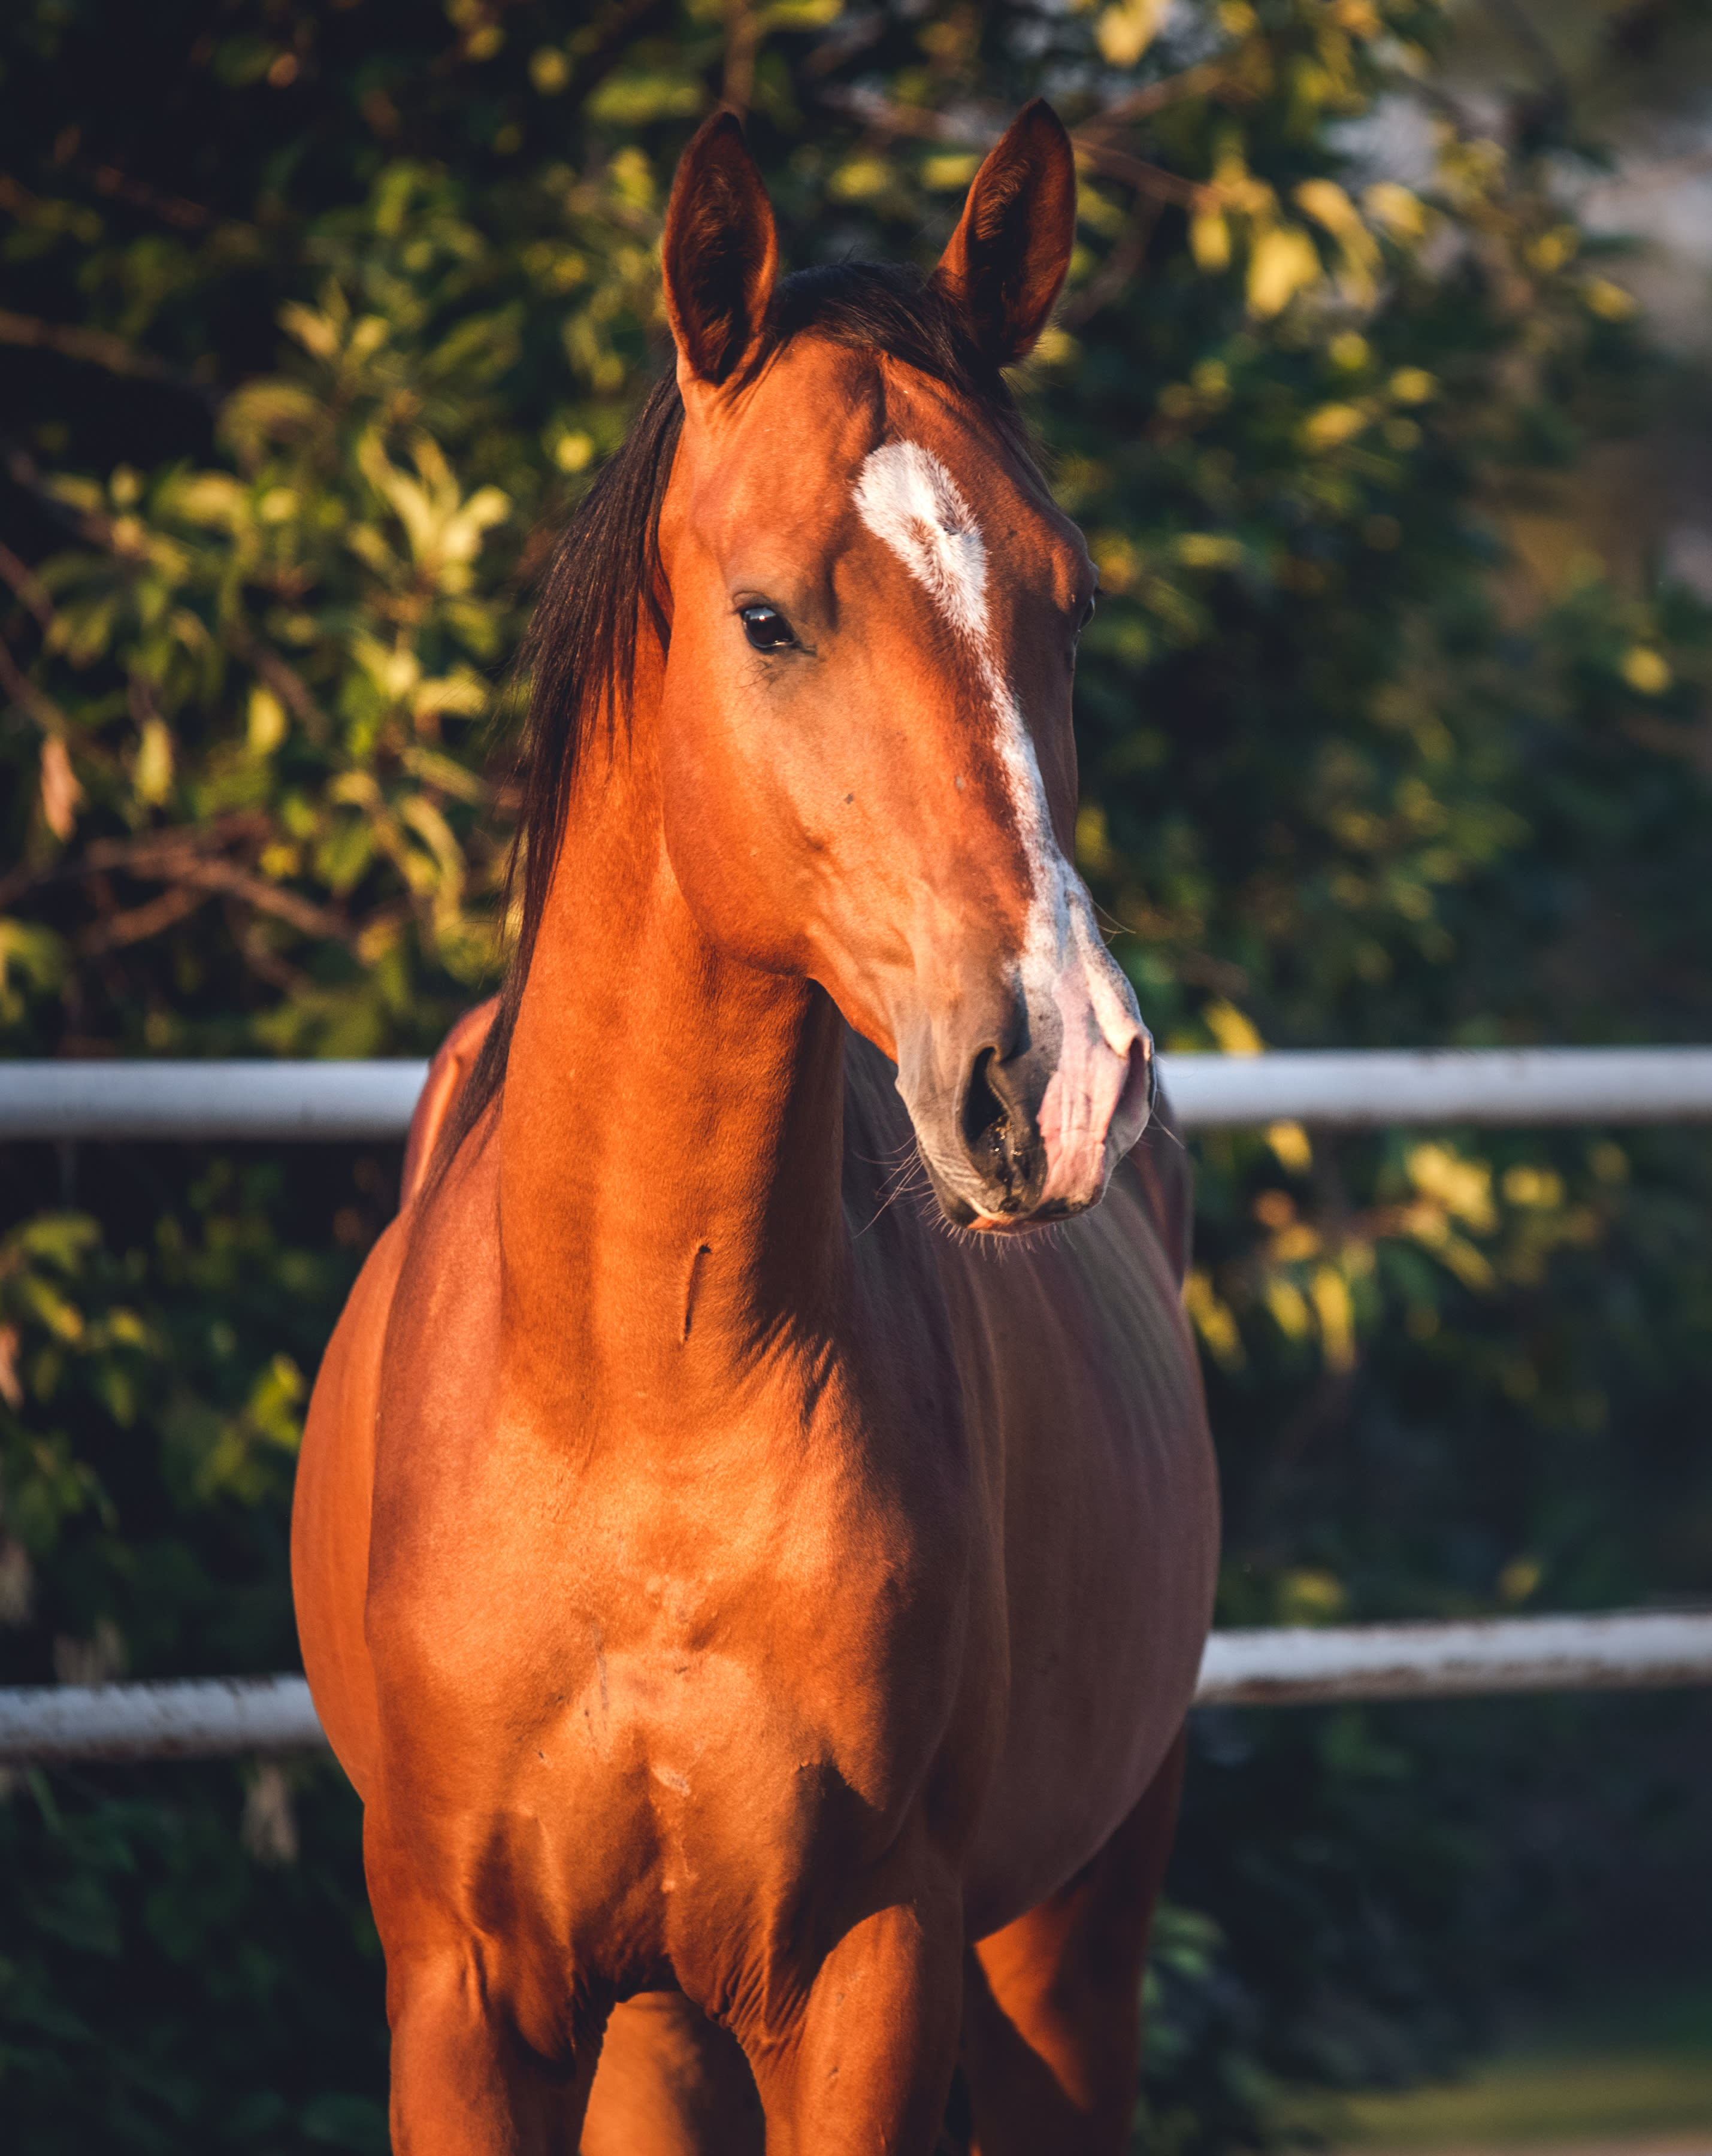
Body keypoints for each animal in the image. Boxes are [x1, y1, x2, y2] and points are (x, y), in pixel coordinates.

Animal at [292, 101, 1218, 2156]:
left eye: (1070, 603)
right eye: (770, 618)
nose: (1062, 1077)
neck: (641, 1387)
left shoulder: (867, 1973)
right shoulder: (455, 1997)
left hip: (1061, 1944)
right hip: (659, 2025)